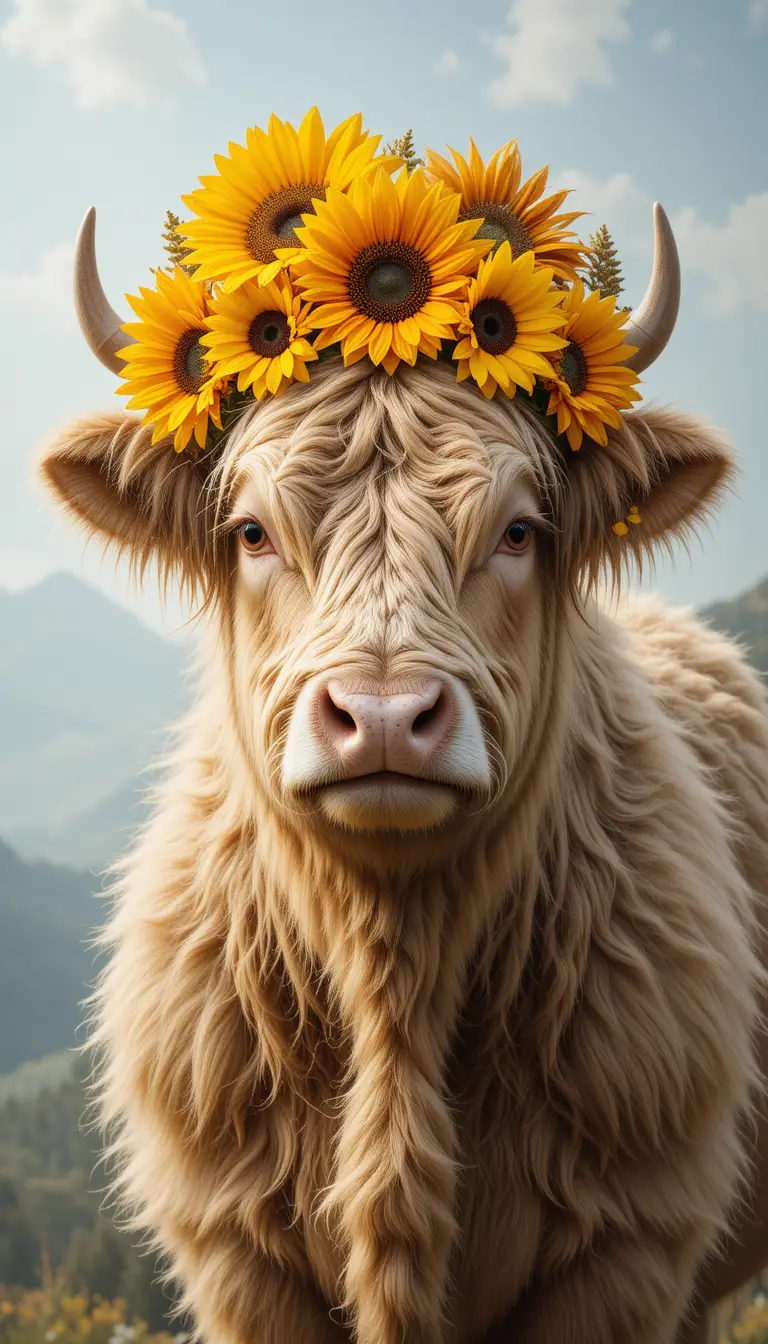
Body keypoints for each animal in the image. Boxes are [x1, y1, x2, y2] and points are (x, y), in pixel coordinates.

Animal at [37, 204, 768, 1344]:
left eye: (519, 531)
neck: (396, 970)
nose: (383, 719)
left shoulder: (628, 1243)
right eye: (252, 531)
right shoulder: (239, 1255)